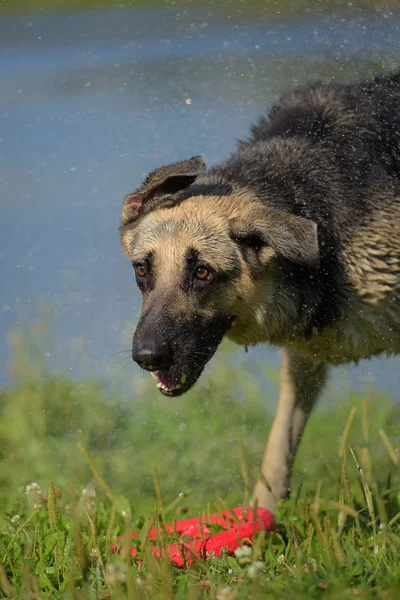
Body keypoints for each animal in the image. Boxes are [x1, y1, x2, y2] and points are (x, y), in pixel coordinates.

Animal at [119, 70, 400, 510]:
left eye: (202, 272)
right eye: (142, 269)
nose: (146, 357)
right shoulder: (304, 360)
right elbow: (277, 452)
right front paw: (258, 520)